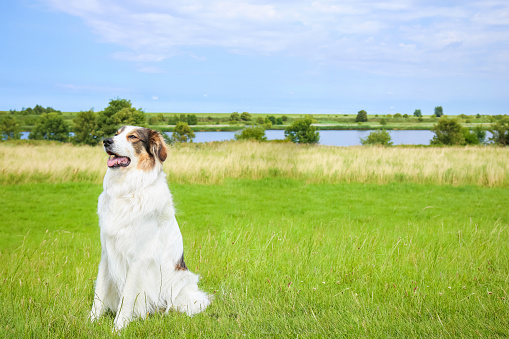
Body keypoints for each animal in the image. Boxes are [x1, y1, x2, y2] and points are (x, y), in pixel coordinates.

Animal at [89, 125, 210, 332]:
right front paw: (90, 322)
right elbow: (99, 292)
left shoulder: (138, 257)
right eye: (116, 133)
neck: (128, 191)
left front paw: (118, 327)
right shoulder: (107, 253)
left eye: (133, 137)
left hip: (182, 283)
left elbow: (127, 296)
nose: (106, 141)